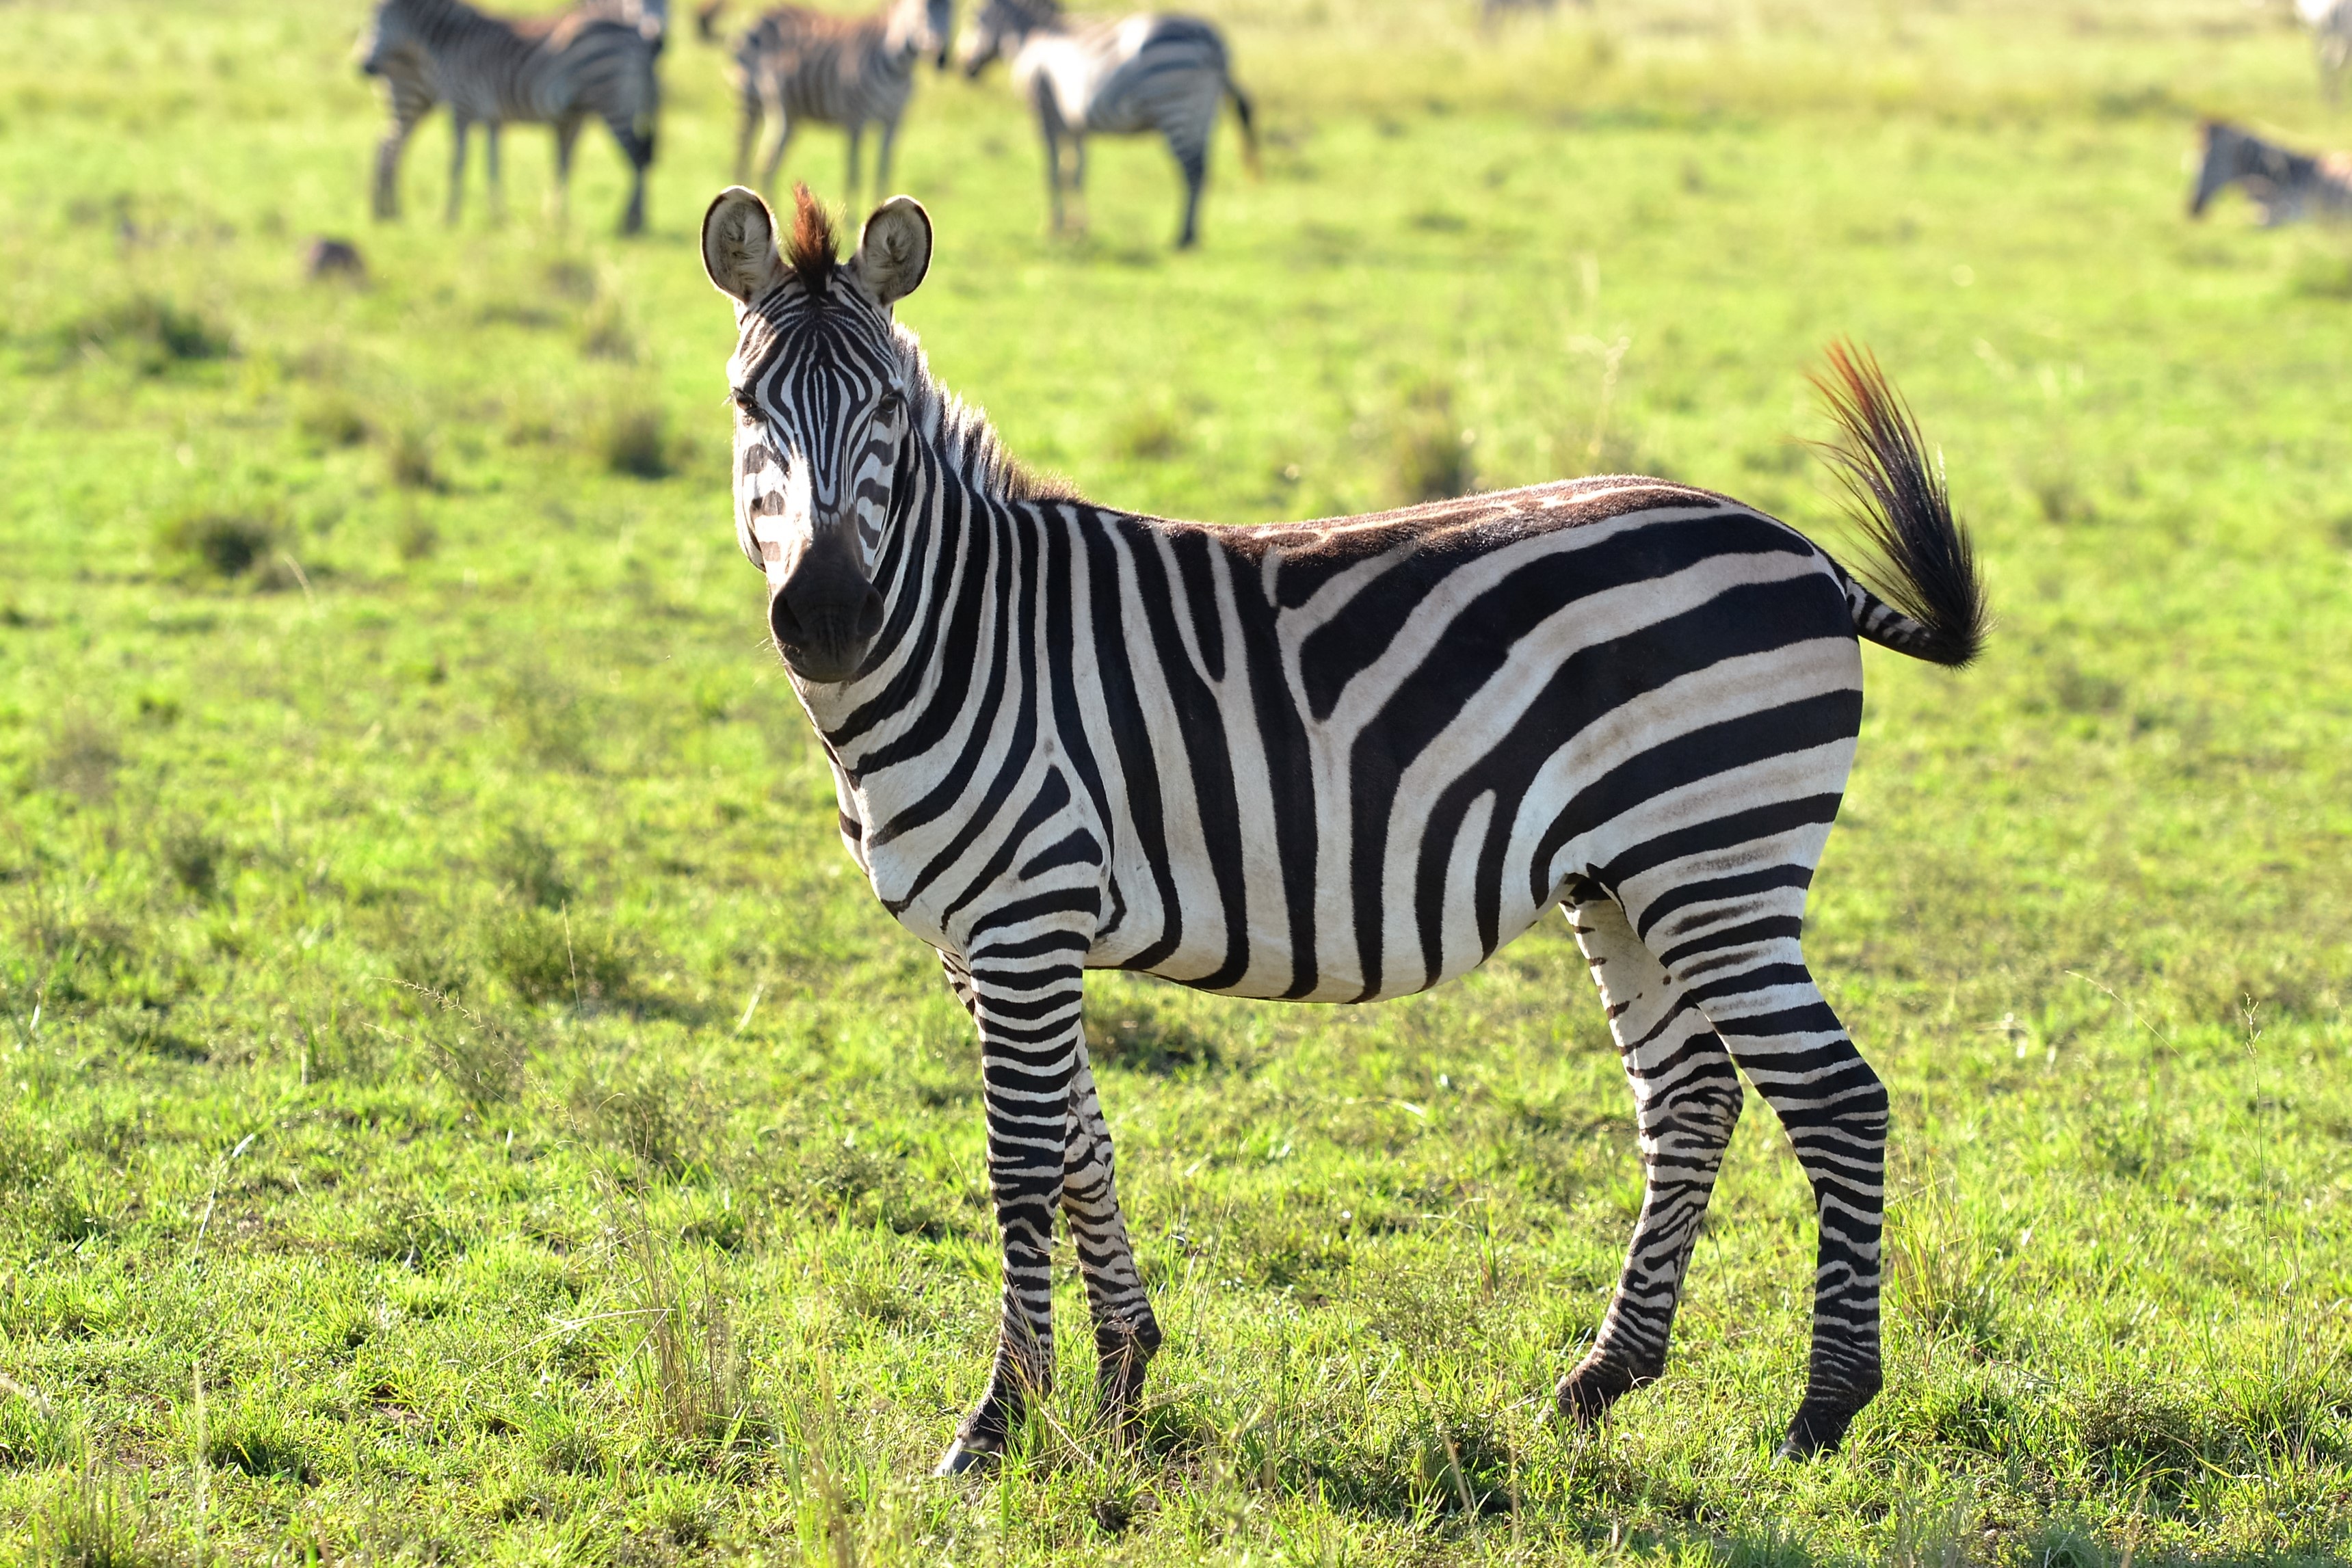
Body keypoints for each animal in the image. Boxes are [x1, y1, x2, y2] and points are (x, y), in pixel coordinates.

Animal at [352, 0, 663, 232]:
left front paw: (451, 217)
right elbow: (494, 164)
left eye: (375, 22)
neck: (451, 41)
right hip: (413, 101)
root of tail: (638, 40)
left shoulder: (462, 106)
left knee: (638, 156)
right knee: (389, 146)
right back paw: (386, 212)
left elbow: (458, 163)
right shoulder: (492, 116)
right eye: (366, 24)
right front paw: (498, 218)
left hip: (612, 101)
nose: (364, 67)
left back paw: (631, 224)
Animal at [691, 184, 1985, 1476]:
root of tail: (1797, 550)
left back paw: (1822, 1407)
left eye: (887, 409)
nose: (826, 618)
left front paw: (1000, 1418)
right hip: (1623, 881)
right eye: (746, 403)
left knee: (1835, 1098)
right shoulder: (989, 941)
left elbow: (1019, 1162)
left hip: (1717, 866)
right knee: (1691, 1096)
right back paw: (1597, 1381)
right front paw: (1123, 1378)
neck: (962, 630)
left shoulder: (1024, 916)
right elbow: (1079, 1148)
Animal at [729, 0, 960, 204]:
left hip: (789, 116)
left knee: (766, 163)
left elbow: (883, 173)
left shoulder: (894, 122)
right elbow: (854, 177)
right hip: (748, 98)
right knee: (744, 151)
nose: (941, 58)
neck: (899, 70)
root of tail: (763, 13)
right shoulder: (856, 122)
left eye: (953, 13)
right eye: (922, 13)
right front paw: (852, 220)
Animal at [955, 0, 1260, 246]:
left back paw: (1183, 238)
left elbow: (1053, 170)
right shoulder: (1074, 122)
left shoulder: (1044, 108)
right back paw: (1192, 235)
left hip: (1176, 107)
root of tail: (1214, 44)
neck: (1032, 36)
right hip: (1204, 114)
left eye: (972, 19)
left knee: (1193, 171)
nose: (964, 69)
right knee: (1204, 170)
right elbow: (1076, 172)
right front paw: (1078, 229)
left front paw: (1053, 228)